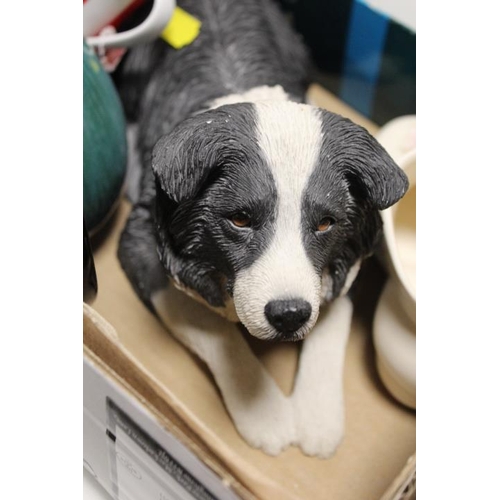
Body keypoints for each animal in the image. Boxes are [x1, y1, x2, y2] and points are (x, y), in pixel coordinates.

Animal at [116, 0, 406, 458]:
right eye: (239, 219)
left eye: (326, 223)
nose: (289, 315)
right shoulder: (144, 239)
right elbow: (211, 325)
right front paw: (266, 414)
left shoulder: (356, 253)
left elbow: (332, 319)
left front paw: (318, 419)